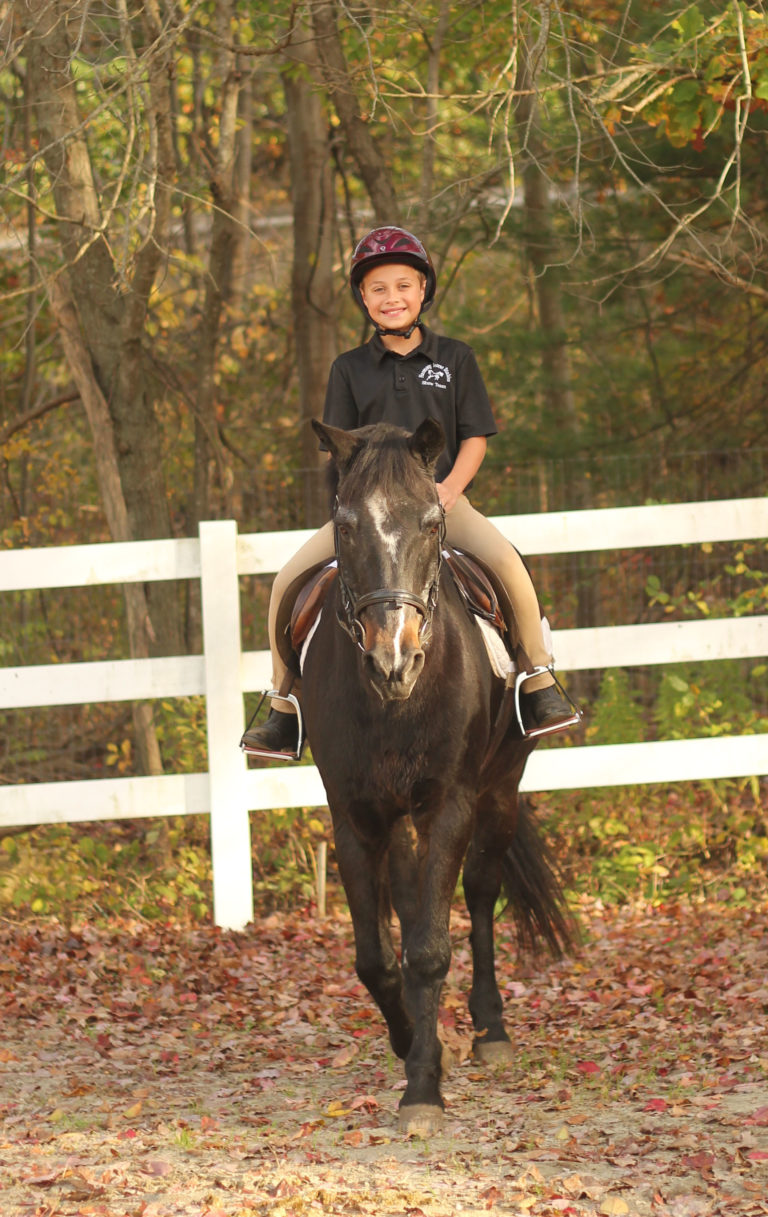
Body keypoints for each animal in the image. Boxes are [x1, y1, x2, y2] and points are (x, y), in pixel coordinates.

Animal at [299, 418, 573, 1136]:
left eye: (429, 521)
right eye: (345, 524)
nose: (393, 659)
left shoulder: (451, 803)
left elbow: (428, 948)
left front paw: (424, 1084)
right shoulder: (355, 815)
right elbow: (376, 955)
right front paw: (410, 1044)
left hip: (500, 789)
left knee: (480, 892)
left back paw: (490, 1028)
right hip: (399, 815)